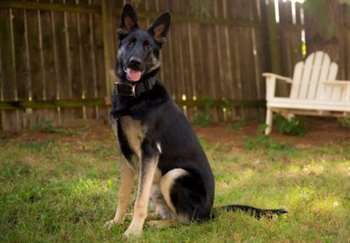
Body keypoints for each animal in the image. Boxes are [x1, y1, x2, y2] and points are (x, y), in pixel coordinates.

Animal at [104, 3, 288, 237]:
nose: (134, 63)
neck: (136, 94)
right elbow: (124, 194)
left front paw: (133, 232)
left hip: (173, 175)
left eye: (147, 47)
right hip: (159, 183)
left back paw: (154, 224)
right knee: (172, 214)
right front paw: (117, 221)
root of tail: (210, 211)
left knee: (187, 220)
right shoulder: (126, 154)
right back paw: (152, 220)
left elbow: (139, 199)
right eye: (130, 43)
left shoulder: (150, 151)